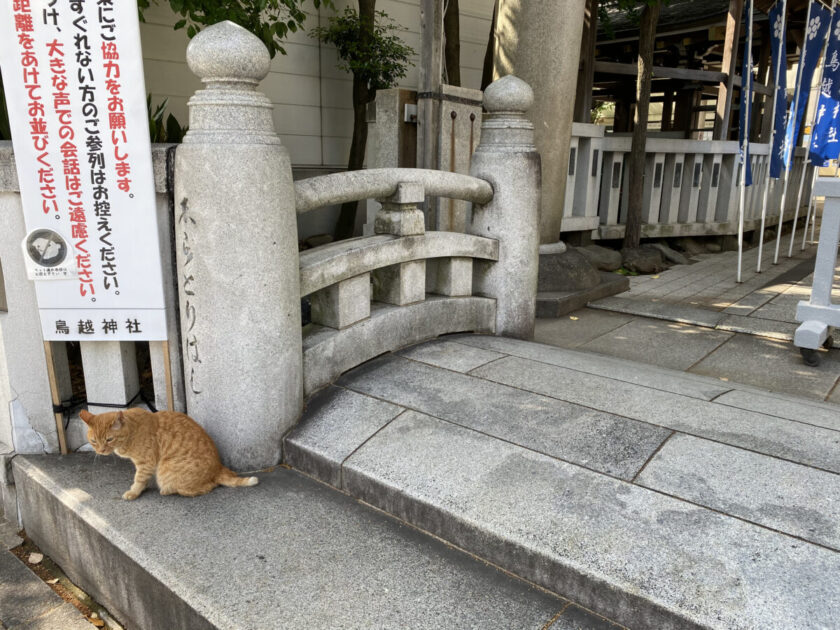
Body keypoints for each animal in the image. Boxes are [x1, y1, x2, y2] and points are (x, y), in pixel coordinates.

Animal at [79, 410, 258, 504]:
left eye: (109, 439)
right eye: (94, 441)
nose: (101, 450)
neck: (132, 431)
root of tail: (217, 468)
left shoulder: (146, 463)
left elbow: (139, 479)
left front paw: (134, 492)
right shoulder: (147, 465)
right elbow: (143, 479)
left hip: (167, 471)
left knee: (208, 486)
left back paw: (167, 490)